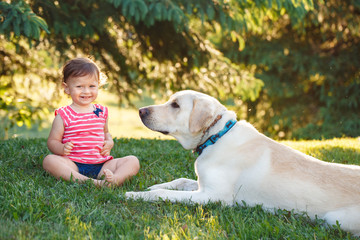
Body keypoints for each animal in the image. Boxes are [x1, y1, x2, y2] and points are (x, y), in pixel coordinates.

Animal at [126, 89, 360, 234]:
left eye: (175, 105)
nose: (140, 111)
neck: (216, 135)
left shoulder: (214, 196)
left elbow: (163, 194)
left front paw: (136, 194)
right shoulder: (203, 185)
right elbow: (180, 180)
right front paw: (155, 185)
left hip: (336, 219)